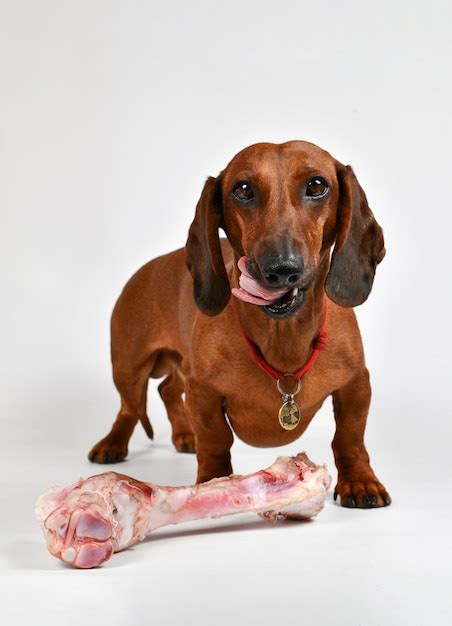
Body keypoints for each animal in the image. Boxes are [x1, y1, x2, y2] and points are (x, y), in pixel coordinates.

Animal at [89, 140, 392, 508]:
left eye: (317, 185)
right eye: (243, 190)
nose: (281, 268)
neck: (283, 338)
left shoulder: (356, 385)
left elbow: (349, 437)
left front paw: (360, 481)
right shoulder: (202, 392)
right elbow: (216, 440)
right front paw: (214, 482)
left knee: (167, 390)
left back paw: (184, 434)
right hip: (128, 367)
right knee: (130, 408)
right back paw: (113, 443)